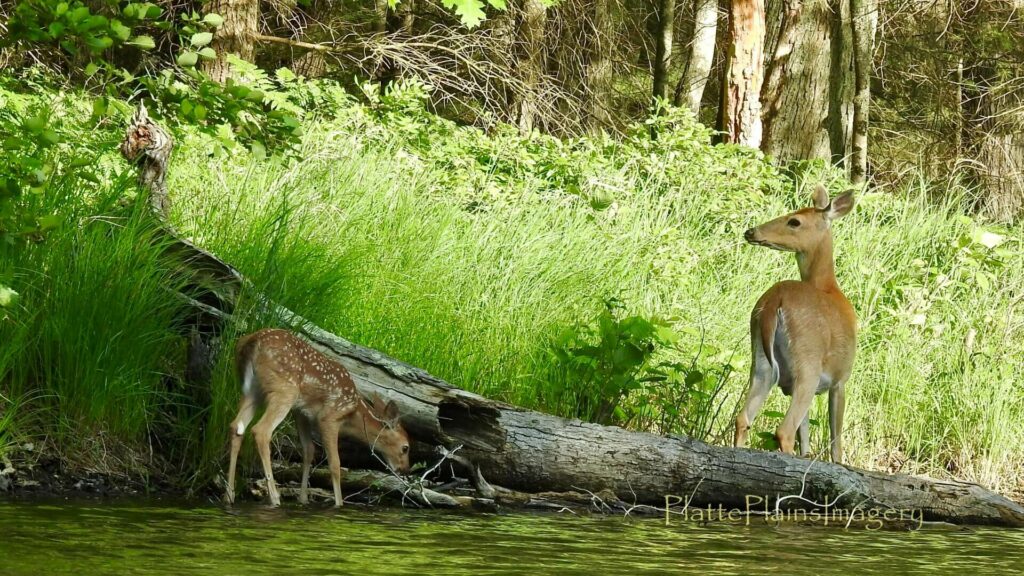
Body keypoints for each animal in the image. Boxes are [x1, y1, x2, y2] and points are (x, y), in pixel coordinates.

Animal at [226, 330, 409, 504]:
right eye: (405, 448)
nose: (404, 470)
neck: (353, 412)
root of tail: (252, 340)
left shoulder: (301, 412)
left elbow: (309, 450)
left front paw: (303, 499)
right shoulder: (329, 417)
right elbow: (335, 464)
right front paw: (338, 504)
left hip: (251, 390)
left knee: (237, 426)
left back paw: (229, 494)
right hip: (285, 390)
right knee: (261, 430)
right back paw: (274, 498)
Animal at [737, 183, 856, 461]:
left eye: (794, 221)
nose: (751, 231)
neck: (829, 288)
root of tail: (774, 301)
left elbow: (806, 438)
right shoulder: (840, 379)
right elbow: (835, 441)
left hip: (760, 362)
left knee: (742, 419)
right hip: (807, 362)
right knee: (784, 430)